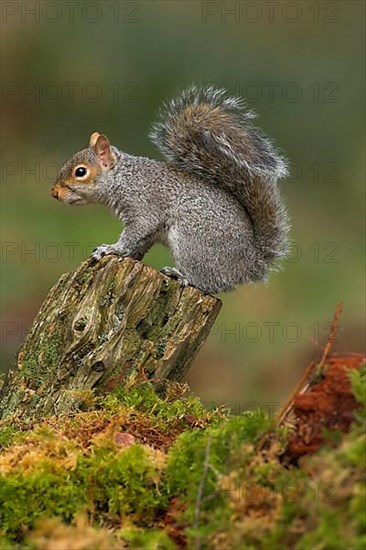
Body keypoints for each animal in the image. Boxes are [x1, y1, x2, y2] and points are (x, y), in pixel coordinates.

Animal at [52, 86, 292, 296]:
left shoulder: (143, 206)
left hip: (192, 242)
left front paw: (112, 249)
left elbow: (134, 232)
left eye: (80, 172)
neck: (123, 178)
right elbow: (141, 242)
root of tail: (250, 263)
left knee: (210, 283)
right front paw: (131, 255)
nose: (54, 193)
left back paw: (182, 276)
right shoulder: (149, 227)